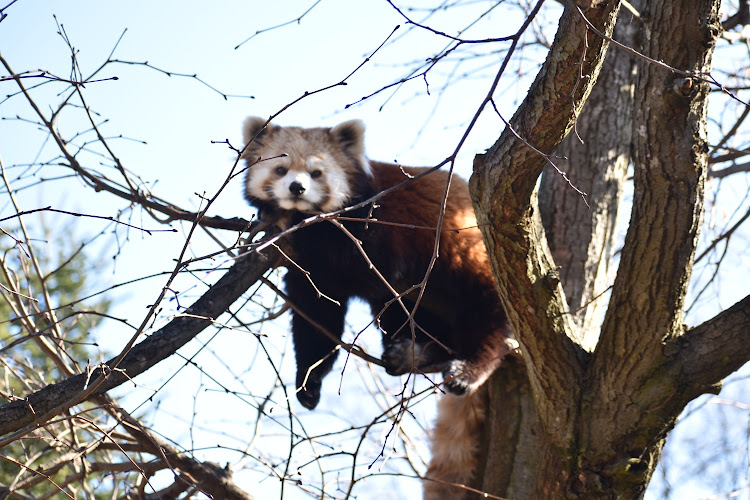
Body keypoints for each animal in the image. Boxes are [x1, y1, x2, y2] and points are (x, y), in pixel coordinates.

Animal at [244, 116, 516, 496]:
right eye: (280, 169)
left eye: (316, 173)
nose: (296, 188)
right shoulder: (310, 271)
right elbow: (316, 318)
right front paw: (309, 381)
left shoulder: (381, 227)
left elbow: (378, 270)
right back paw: (417, 352)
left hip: (480, 259)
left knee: (486, 313)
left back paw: (468, 367)